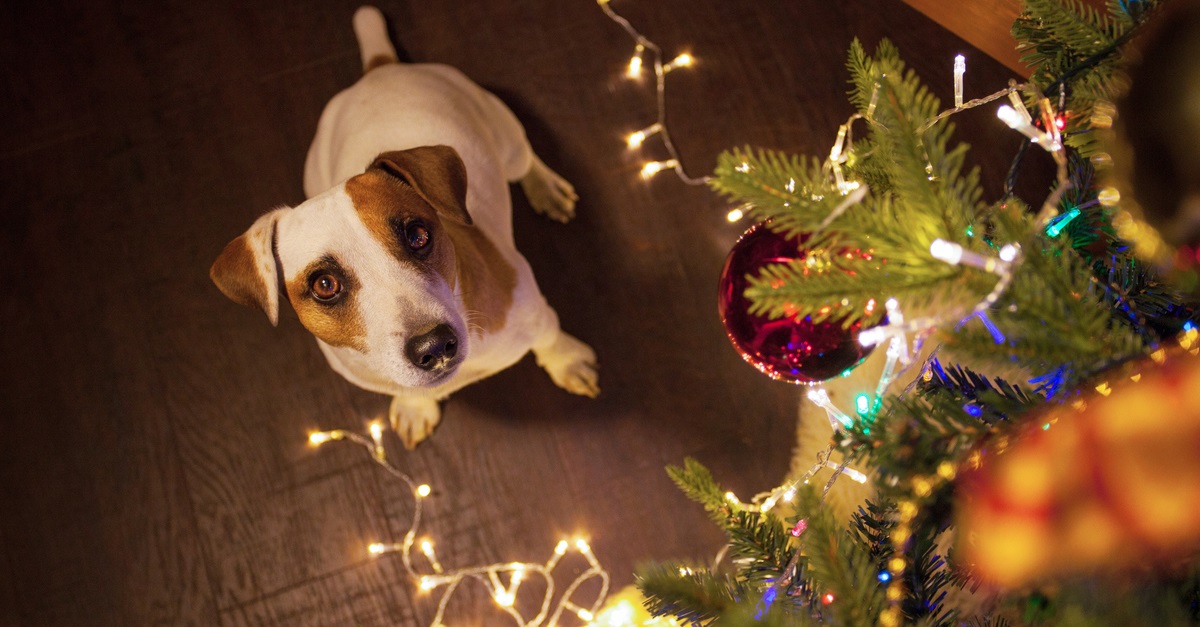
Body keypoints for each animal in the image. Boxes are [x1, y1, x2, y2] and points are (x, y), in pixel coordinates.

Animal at [211, 4, 600, 444]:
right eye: (325, 285)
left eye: (418, 235)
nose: (434, 344)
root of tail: (380, 69)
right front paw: (416, 407)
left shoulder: (535, 312)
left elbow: (550, 338)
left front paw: (568, 362)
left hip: (505, 136)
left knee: (526, 159)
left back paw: (546, 188)